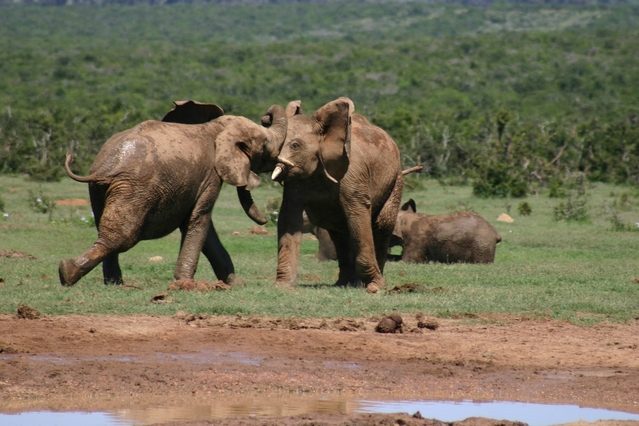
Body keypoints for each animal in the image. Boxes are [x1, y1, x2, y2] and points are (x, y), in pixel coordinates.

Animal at [58, 100, 288, 286]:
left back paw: (112, 284)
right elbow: (199, 219)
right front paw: (185, 284)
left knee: (104, 229)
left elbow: (200, 225)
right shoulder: (211, 177)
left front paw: (235, 285)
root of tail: (107, 166)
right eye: (266, 146)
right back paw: (66, 273)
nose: (266, 116)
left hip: (99, 190)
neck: (217, 128)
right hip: (134, 189)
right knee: (121, 236)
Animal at [272, 98, 402, 294]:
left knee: (382, 224)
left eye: (295, 145)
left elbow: (358, 215)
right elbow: (289, 217)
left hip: (396, 178)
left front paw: (375, 287)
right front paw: (282, 286)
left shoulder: (352, 175)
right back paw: (345, 283)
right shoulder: (295, 181)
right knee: (338, 231)